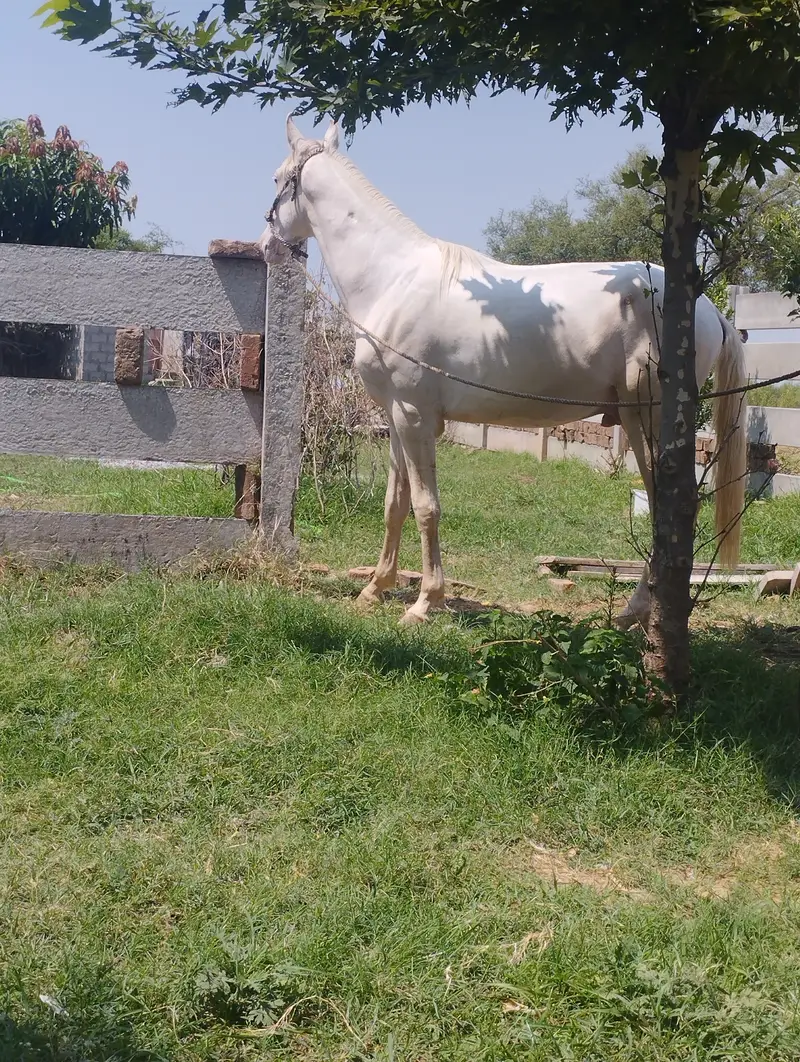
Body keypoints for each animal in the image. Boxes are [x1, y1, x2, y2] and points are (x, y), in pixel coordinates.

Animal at [260, 116, 747, 627]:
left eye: (276, 178)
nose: (267, 246)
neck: (393, 280)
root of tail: (707, 309)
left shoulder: (414, 416)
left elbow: (426, 508)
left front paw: (425, 602)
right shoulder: (396, 417)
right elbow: (396, 504)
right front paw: (376, 589)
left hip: (646, 418)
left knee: (665, 509)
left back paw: (635, 612)